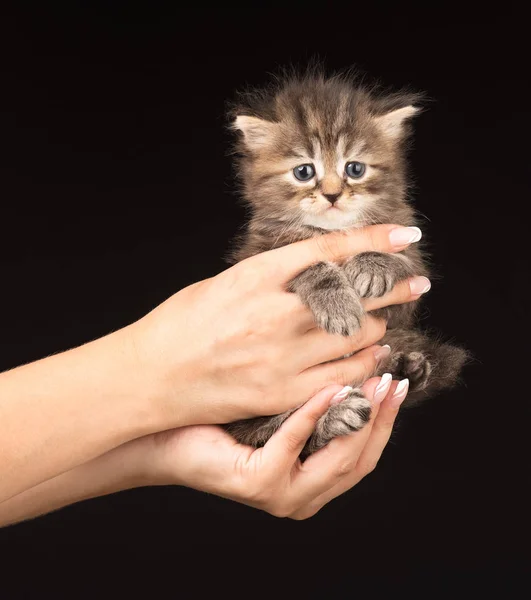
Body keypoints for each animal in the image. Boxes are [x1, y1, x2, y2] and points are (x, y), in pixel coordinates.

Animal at [224, 69, 470, 454]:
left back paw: (405, 370)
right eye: (304, 172)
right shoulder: (258, 255)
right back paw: (337, 416)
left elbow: (403, 262)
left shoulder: (410, 269)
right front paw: (337, 304)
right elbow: (310, 266)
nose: (332, 194)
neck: (333, 230)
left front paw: (372, 266)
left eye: (354, 169)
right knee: (276, 432)